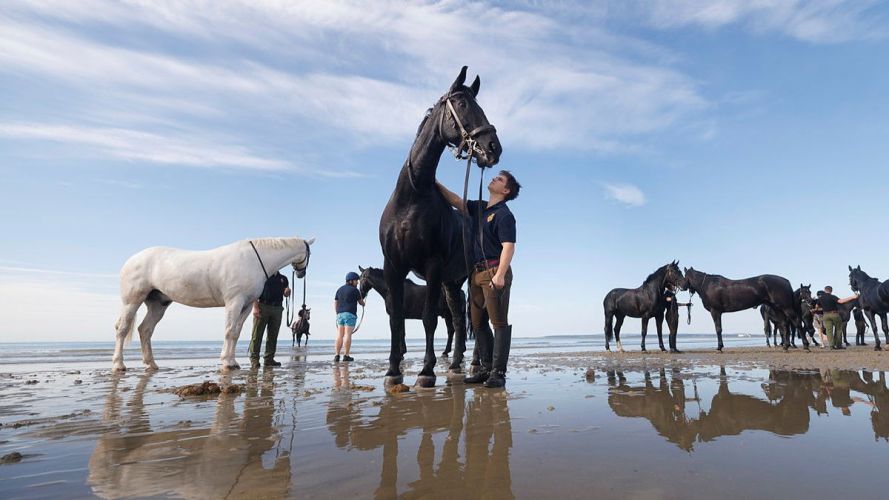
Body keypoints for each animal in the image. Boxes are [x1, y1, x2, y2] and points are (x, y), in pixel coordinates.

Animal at [113, 236, 314, 372]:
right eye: (309, 253)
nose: (301, 273)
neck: (254, 260)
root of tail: (131, 260)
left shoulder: (247, 305)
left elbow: (236, 333)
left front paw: (232, 361)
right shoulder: (234, 302)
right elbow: (229, 331)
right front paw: (227, 362)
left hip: (158, 304)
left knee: (145, 330)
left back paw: (152, 364)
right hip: (132, 301)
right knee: (123, 328)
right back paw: (119, 365)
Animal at [379, 66, 501, 387]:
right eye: (462, 104)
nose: (493, 148)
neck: (412, 195)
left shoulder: (432, 266)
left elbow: (428, 318)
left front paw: (426, 370)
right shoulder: (393, 266)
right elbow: (396, 319)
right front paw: (393, 370)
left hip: (468, 279)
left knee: (474, 319)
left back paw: (474, 363)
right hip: (452, 282)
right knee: (459, 321)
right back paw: (457, 364)